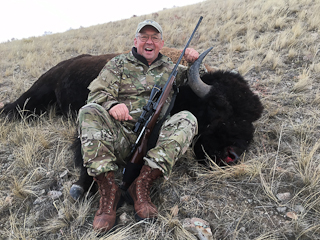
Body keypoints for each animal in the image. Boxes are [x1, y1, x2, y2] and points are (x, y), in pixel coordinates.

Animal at [1, 47, 264, 200]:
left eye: (253, 116)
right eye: (218, 106)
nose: (232, 154)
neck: (185, 90)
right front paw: (84, 187)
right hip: (35, 96)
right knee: (16, 107)